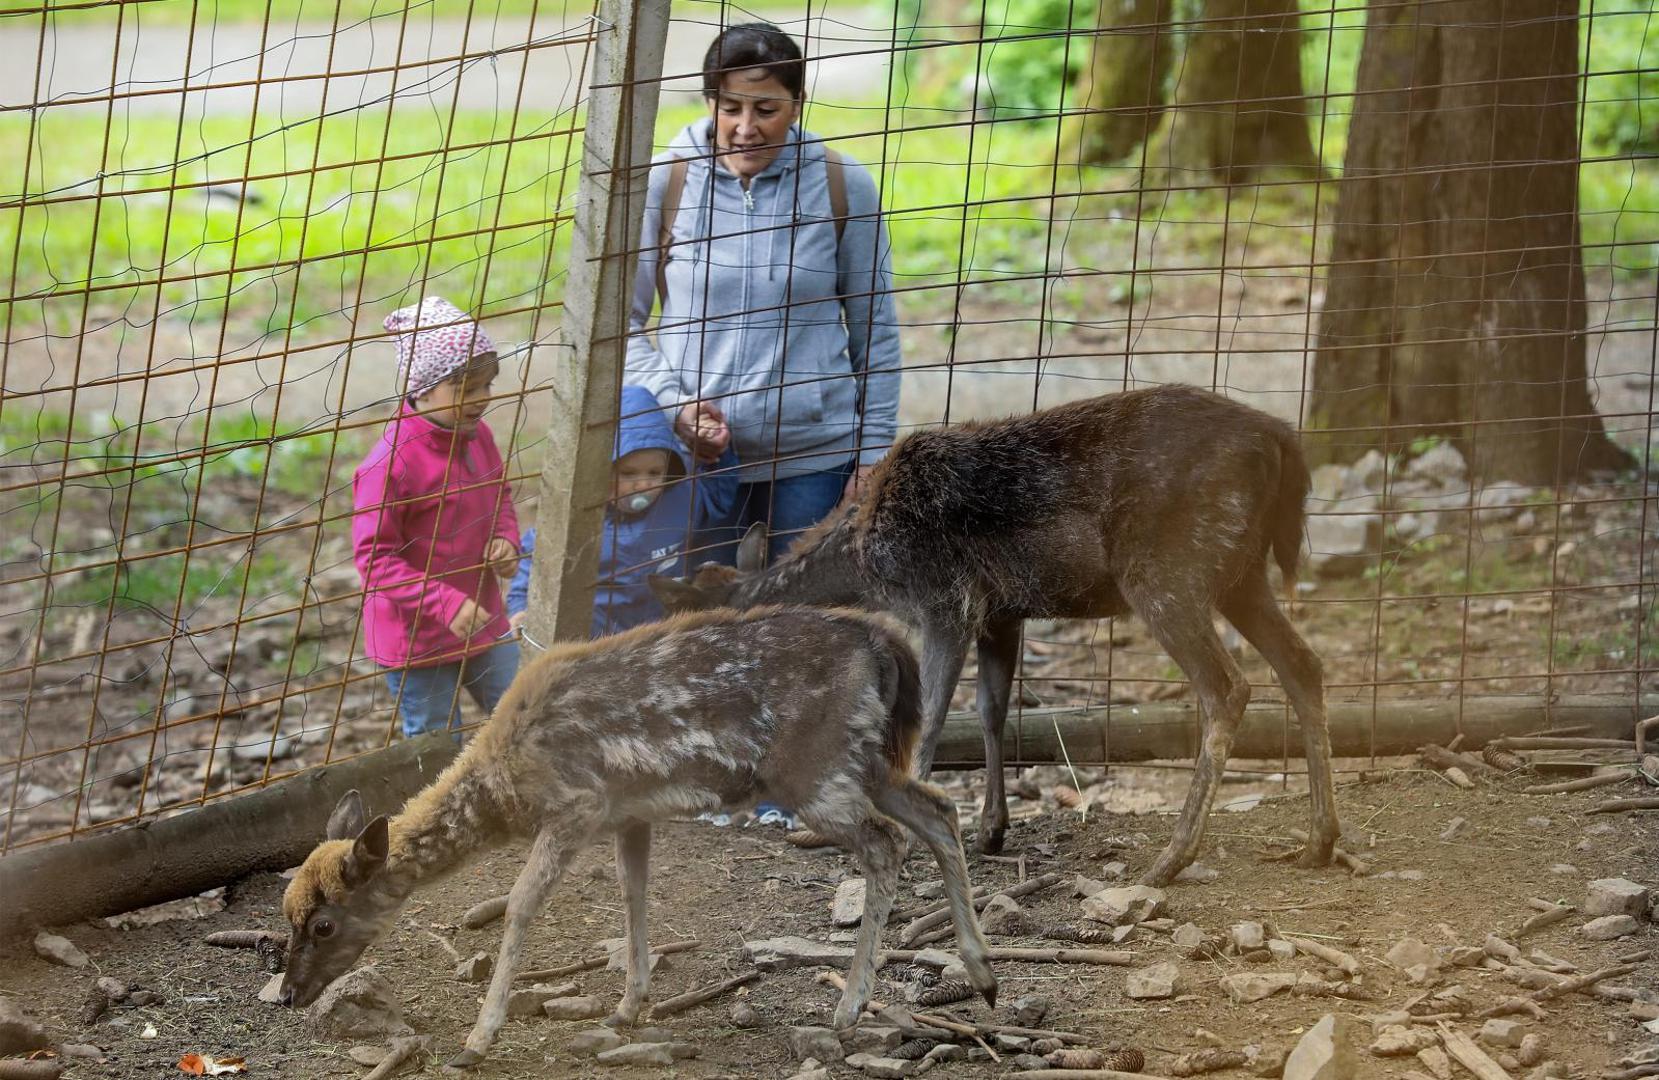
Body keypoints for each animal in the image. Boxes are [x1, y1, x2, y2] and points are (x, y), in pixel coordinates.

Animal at [278, 607, 988, 1061]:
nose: (287, 994)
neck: (508, 787)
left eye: (324, 924)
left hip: (814, 770)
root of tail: (887, 644)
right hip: (866, 759)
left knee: (887, 841)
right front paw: (627, 1007)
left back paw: (849, 1011)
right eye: (287, 914)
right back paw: (982, 975)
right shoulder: (630, 813)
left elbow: (521, 904)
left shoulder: (578, 803)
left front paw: (477, 1041)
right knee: (940, 811)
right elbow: (632, 892)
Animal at [647, 386, 1333, 889]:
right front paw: (991, 829)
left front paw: (891, 831)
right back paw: (1319, 842)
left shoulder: (944, 600)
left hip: (1167, 569)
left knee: (1228, 687)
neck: (868, 560)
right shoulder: (1003, 612)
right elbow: (990, 709)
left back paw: (1172, 858)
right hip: (1241, 574)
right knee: (1304, 664)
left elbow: (927, 717)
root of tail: (1282, 443)